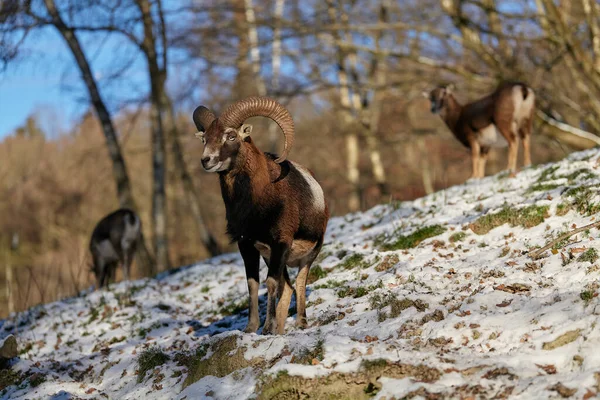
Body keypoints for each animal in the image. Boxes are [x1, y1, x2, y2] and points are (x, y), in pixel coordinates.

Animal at [192, 96, 330, 334]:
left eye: (231, 135)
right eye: (204, 139)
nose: (206, 160)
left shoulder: (280, 243)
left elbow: (271, 283)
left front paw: (266, 328)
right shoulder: (248, 246)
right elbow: (253, 284)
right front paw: (251, 328)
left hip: (308, 254)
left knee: (299, 282)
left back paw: (301, 323)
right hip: (273, 257)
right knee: (288, 287)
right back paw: (281, 331)